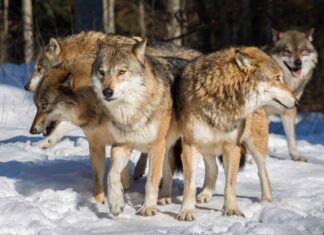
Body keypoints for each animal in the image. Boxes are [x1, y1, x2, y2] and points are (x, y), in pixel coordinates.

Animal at [29, 68, 131, 204]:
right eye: (36, 105)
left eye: (44, 105)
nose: (31, 130)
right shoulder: (95, 143)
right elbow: (98, 177)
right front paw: (98, 202)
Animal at [176, 46, 298, 220]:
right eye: (277, 78)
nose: (297, 102)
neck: (222, 98)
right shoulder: (190, 145)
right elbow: (190, 184)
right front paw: (187, 211)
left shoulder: (232, 147)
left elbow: (230, 183)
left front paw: (232, 210)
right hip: (207, 146)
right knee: (214, 168)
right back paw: (206, 194)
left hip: (254, 146)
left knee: (262, 171)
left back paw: (267, 200)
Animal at [264, 28, 318, 162]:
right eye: (287, 51)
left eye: (302, 50)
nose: (298, 62)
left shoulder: (289, 109)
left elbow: (291, 137)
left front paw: (296, 155)